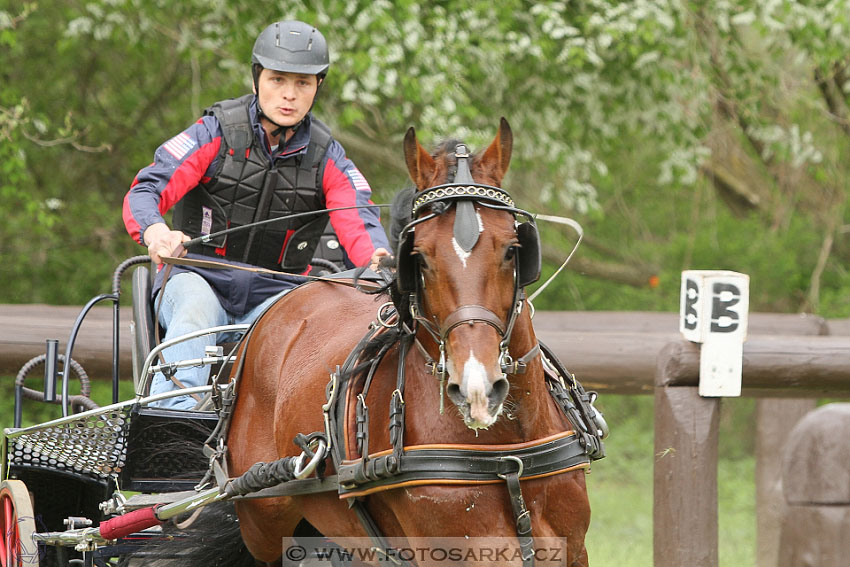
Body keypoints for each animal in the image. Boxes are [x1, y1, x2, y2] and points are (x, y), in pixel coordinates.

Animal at [227, 120, 596, 567]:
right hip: (261, 522)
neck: (509, 456)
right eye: (419, 257)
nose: (478, 390)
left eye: (513, 250)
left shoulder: (573, 548)